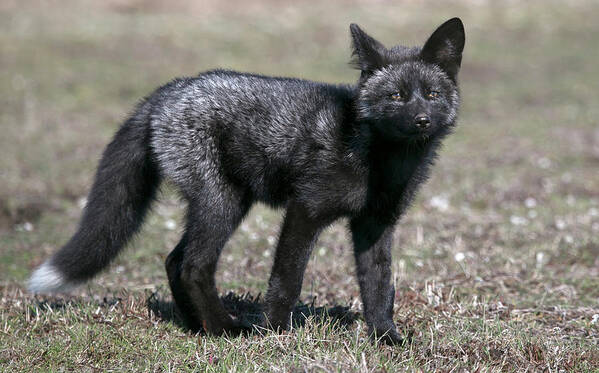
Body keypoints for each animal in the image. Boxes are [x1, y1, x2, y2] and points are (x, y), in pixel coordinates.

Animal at [28, 17, 466, 342]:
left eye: (431, 94)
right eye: (395, 96)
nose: (422, 120)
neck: (376, 159)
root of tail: (170, 90)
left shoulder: (376, 225)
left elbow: (379, 288)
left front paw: (386, 338)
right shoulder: (305, 210)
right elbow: (287, 280)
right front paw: (274, 333)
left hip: (226, 204)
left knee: (174, 260)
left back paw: (197, 327)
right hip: (222, 204)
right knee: (193, 266)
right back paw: (226, 330)